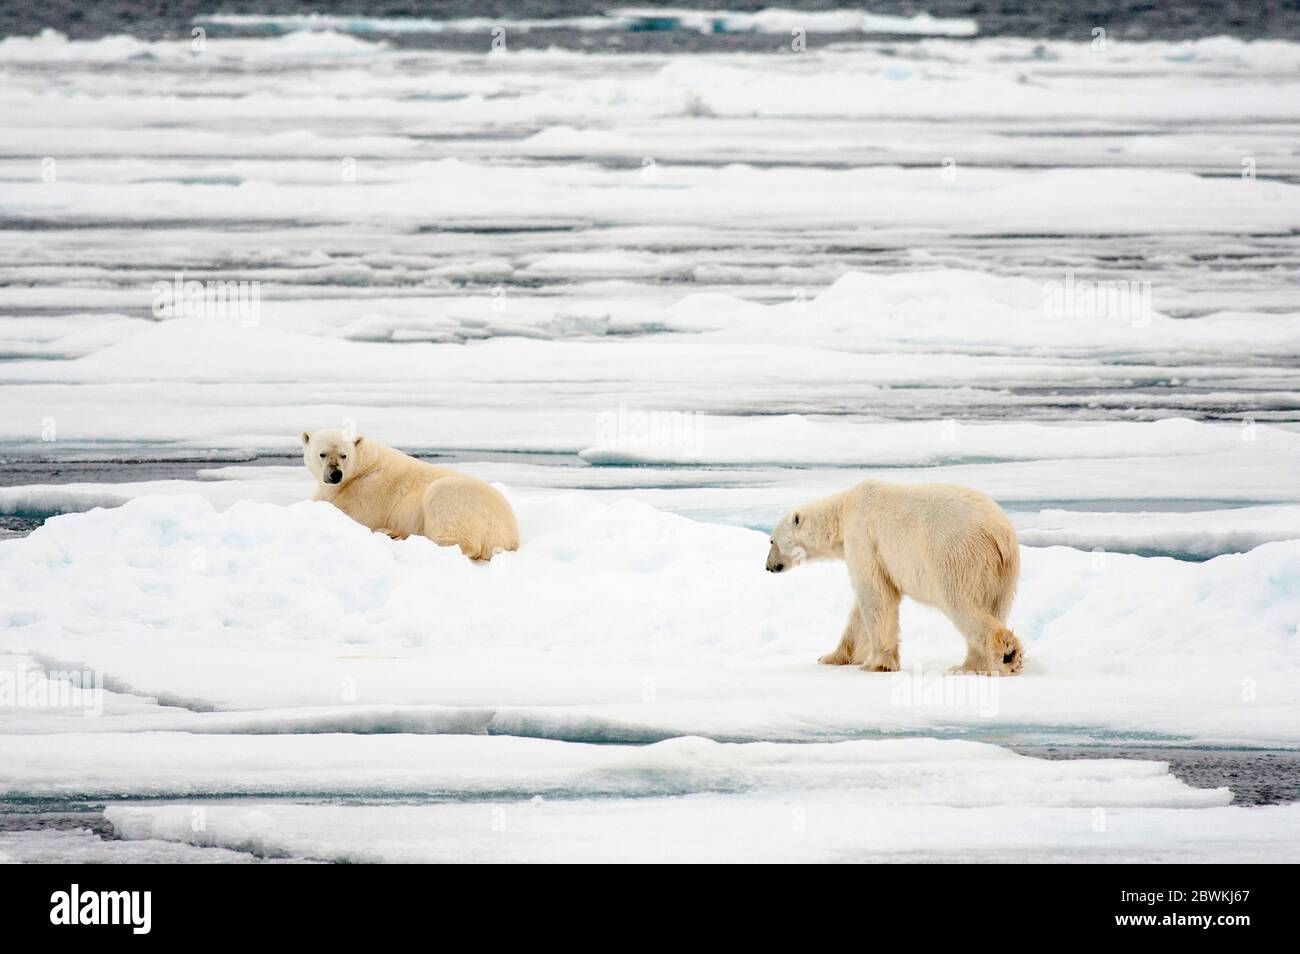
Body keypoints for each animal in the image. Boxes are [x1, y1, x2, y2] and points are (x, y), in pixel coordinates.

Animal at [301, 431, 520, 564]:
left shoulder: (368, 489)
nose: (335, 474)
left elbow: (353, 515)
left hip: (458, 498)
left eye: (344, 455)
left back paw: (396, 534)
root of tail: (511, 535)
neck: (363, 467)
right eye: (322, 454)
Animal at [759, 480, 1024, 675]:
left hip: (957, 556)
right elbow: (863, 608)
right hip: (1004, 573)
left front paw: (877, 663)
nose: (768, 567)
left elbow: (875, 594)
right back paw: (974, 665)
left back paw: (1000, 656)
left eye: (771, 541)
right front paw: (831, 656)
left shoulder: (863, 538)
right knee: (995, 606)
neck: (844, 509)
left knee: (962, 604)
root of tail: (999, 533)